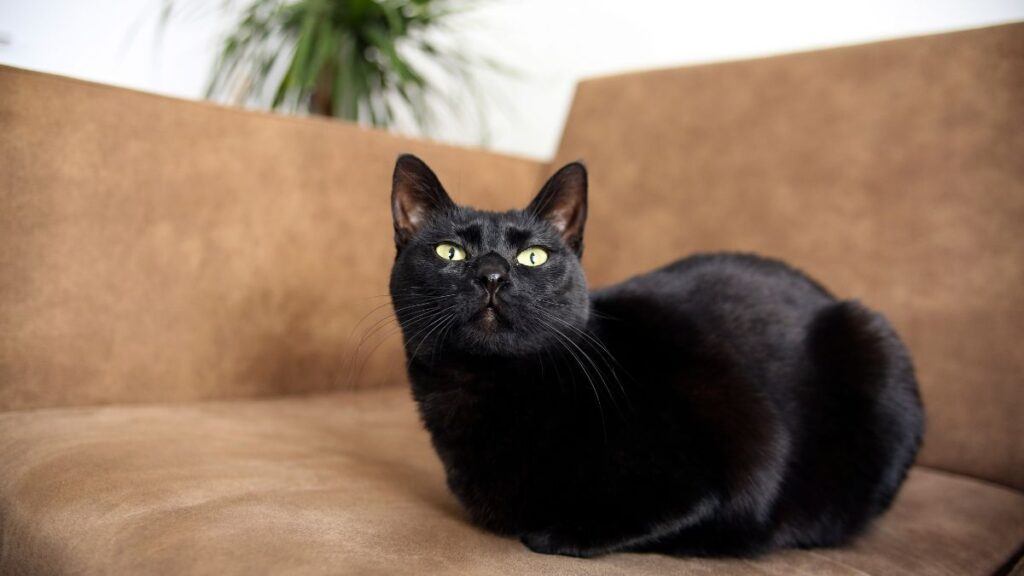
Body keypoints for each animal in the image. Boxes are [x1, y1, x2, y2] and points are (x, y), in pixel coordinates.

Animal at [387, 153, 925, 557]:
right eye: (450, 252)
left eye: (533, 257)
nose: (493, 275)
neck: (483, 391)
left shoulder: (735, 456)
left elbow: (636, 518)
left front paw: (559, 531)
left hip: (874, 342)